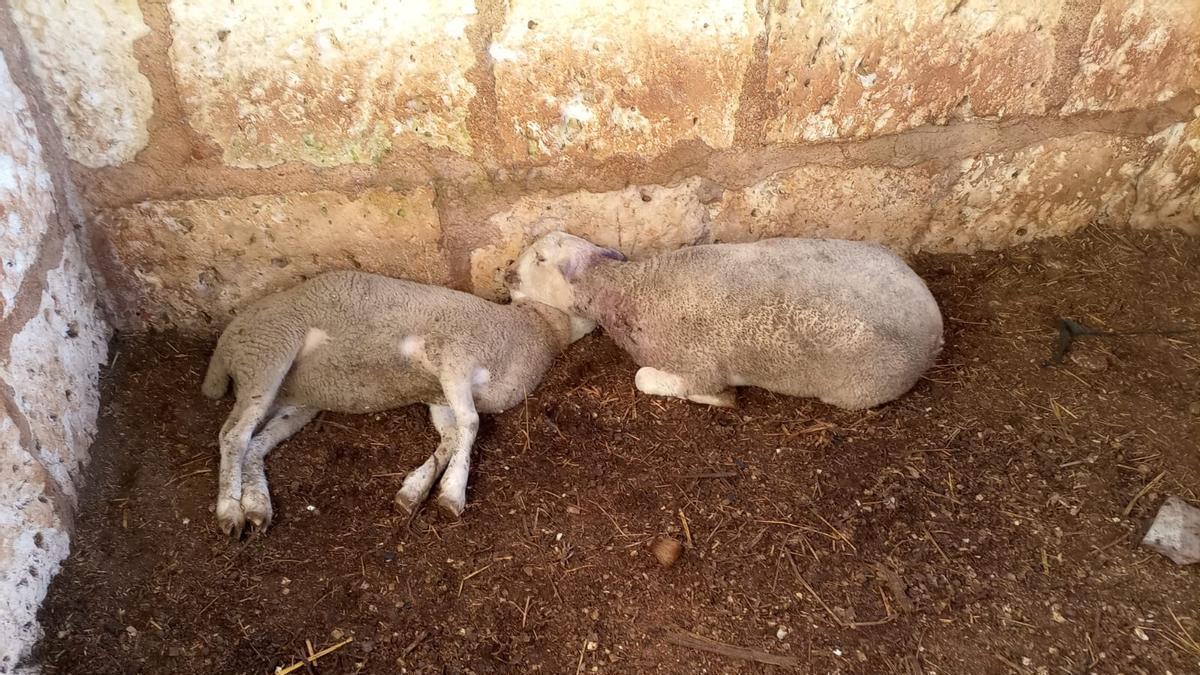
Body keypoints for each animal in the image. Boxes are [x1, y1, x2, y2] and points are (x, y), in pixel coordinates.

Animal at [202, 270, 587, 537]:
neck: (537, 326)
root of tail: (225, 343)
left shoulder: (440, 394)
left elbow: (452, 436)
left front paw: (416, 490)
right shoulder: (453, 357)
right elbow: (470, 424)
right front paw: (452, 493)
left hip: (295, 404)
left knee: (255, 444)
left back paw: (256, 505)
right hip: (267, 353)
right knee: (232, 435)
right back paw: (230, 510)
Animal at [505, 232, 943, 410]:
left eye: (540, 259)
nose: (507, 274)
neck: (632, 289)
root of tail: (935, 326)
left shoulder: (698, 365)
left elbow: (645, 379)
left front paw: (721, 400)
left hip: (862, 387)